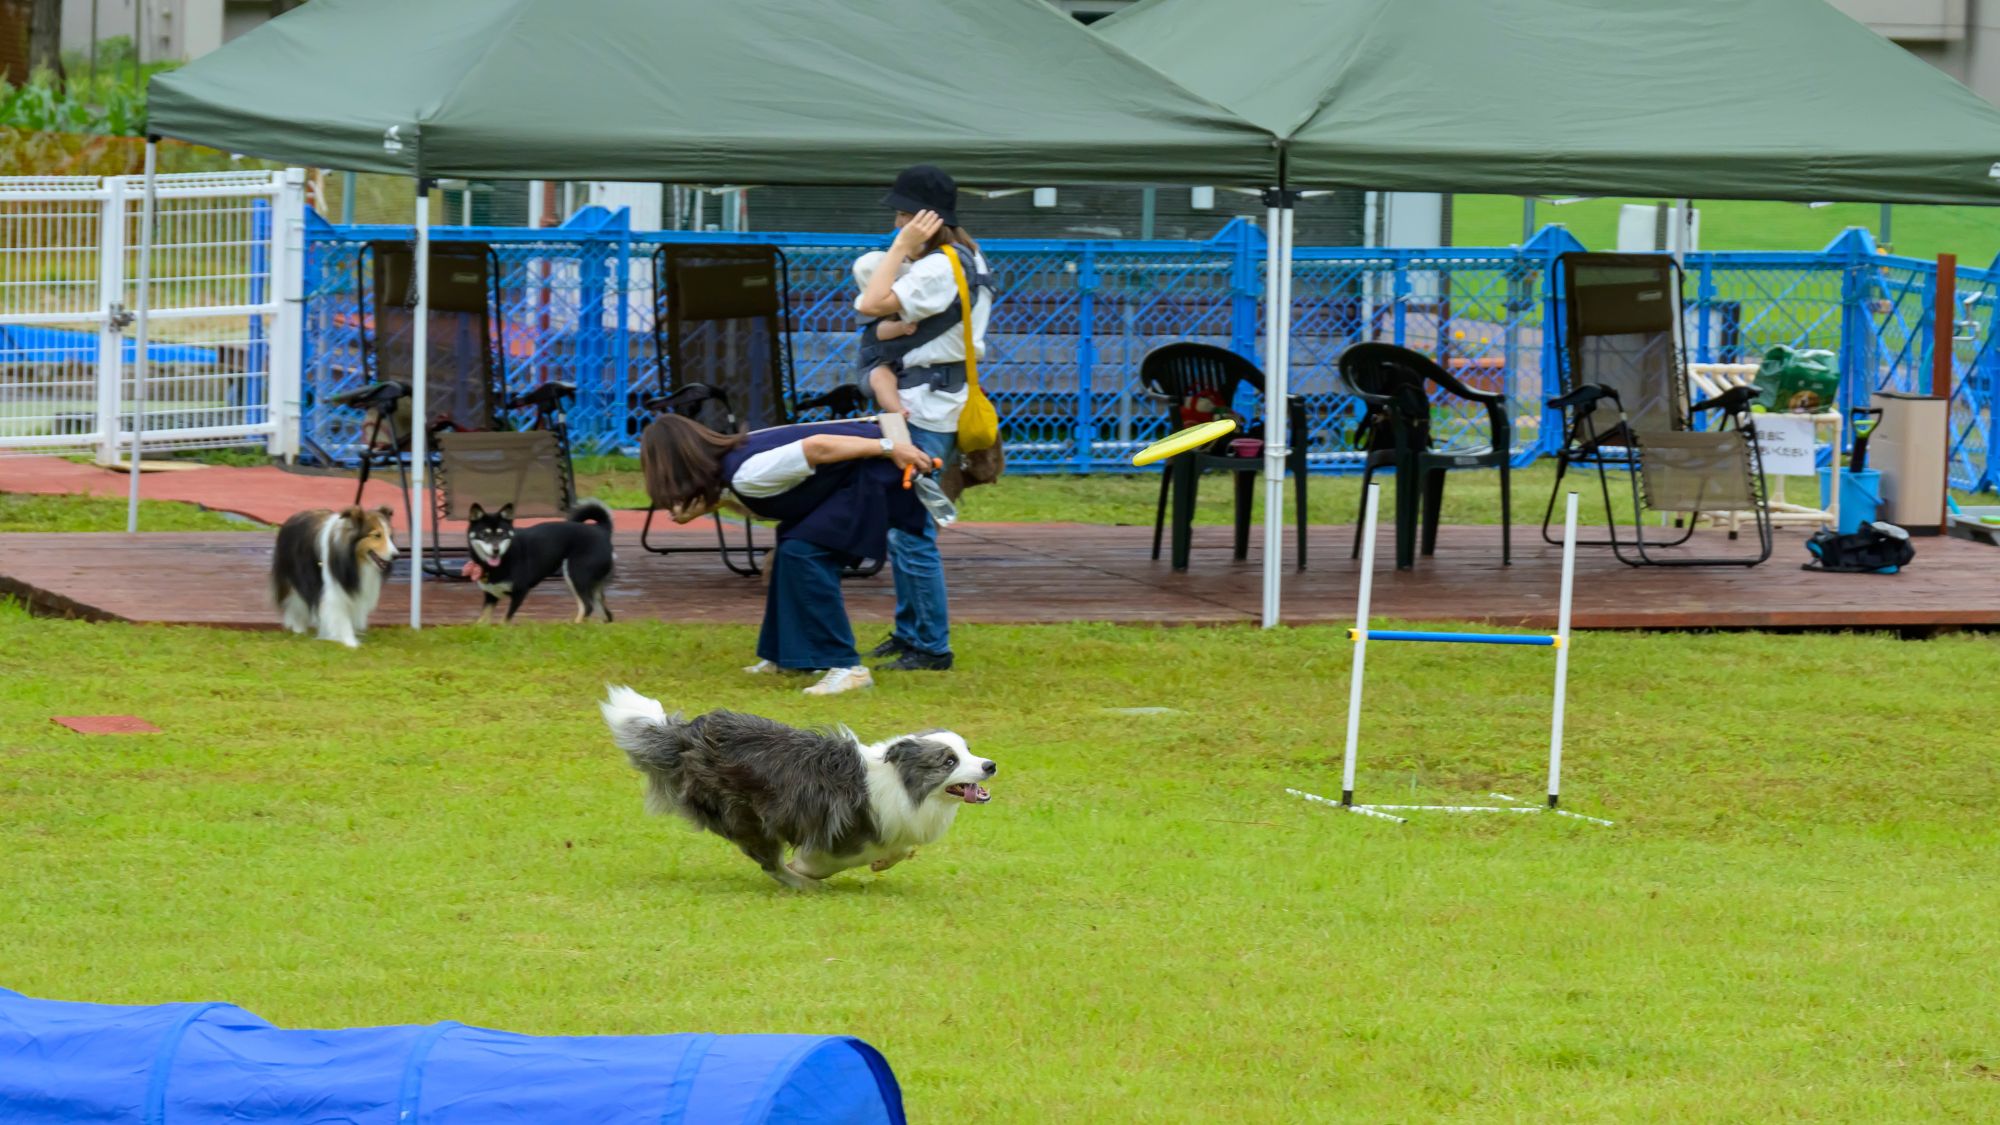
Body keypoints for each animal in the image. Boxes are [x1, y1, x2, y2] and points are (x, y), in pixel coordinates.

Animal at [274, 504, 398, 644]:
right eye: (377, 535)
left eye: (390, 536)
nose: (396, 555)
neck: (355, 561)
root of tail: (293, 517)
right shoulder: (333, 591)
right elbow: (340, 616)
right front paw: (350, 641)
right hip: (296, 580)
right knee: (296, 602)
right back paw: (298, 629)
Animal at [596, 680, 996, 888]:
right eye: (949, 761)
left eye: (968, 750)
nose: (990, 765)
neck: (902, 783)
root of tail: (686, 735)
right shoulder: (842, 829)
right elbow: (841, 855)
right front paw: (809, 869)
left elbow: (900, 848)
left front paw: (884, 862)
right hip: (749, 815)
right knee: (769, 863)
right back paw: (803, 884)